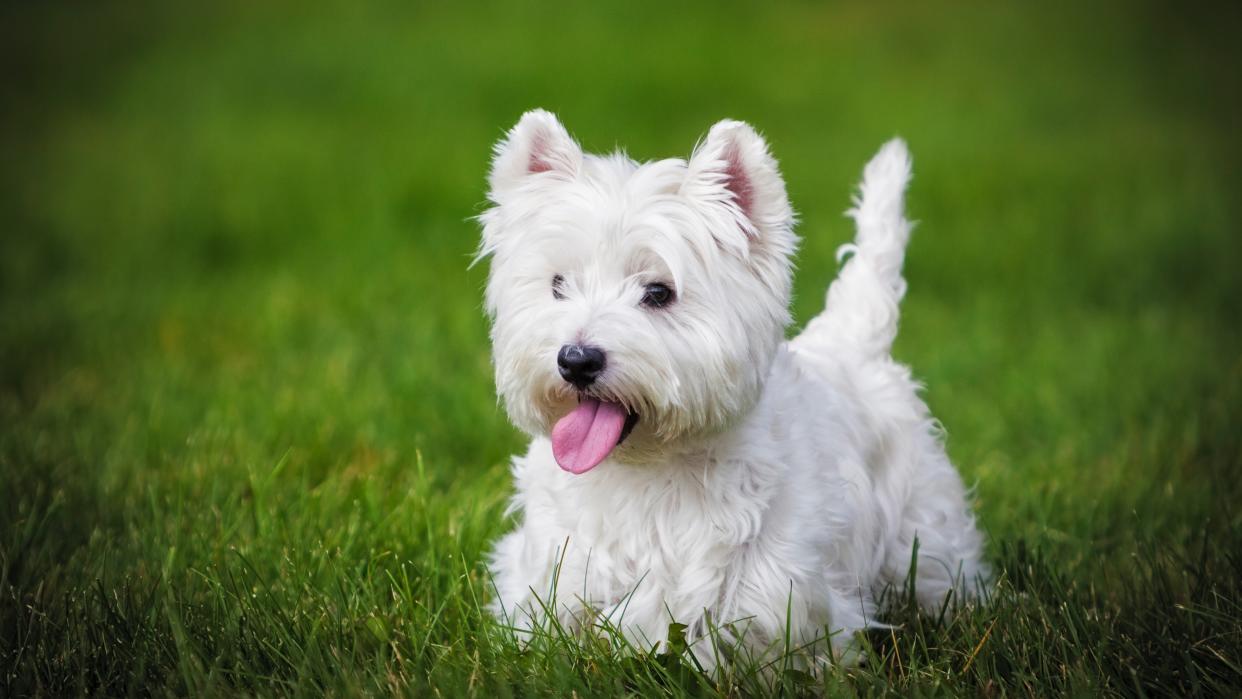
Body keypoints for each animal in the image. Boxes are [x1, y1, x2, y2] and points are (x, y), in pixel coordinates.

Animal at [476, 109, 988, 665]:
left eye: (658, 292)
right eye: (558, 285)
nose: (575, 360)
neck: (645, 473)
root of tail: (853, 341)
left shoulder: (778, 598)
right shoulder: (556, 576)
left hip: (924, 526)